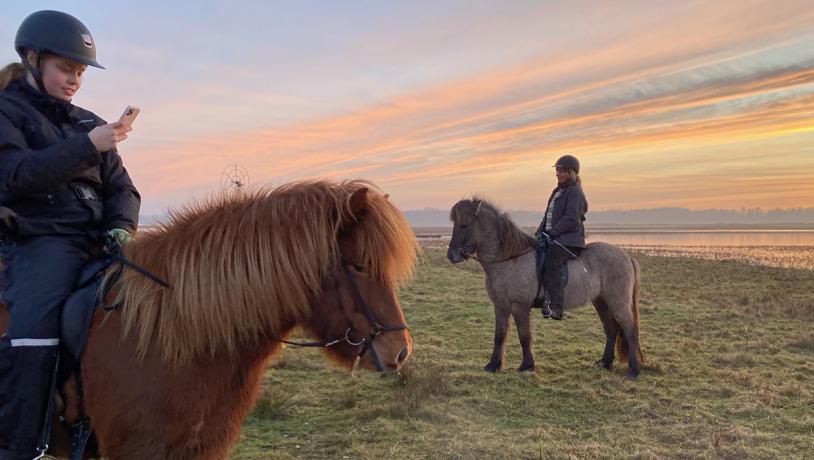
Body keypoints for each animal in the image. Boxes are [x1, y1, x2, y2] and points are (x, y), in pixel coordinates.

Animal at [446, 198, 644, 378]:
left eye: (464, 224)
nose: (451, 255)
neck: (510, 260)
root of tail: (627, 256)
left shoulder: (519, 307)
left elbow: (524, 336)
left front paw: (526, 366)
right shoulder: (500, 306)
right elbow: (499, 335)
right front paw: (493, 365)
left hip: (617, 302)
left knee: (630, 329)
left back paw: (633, 370)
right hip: (601, 301)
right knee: (611, 328)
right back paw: (605, 362)